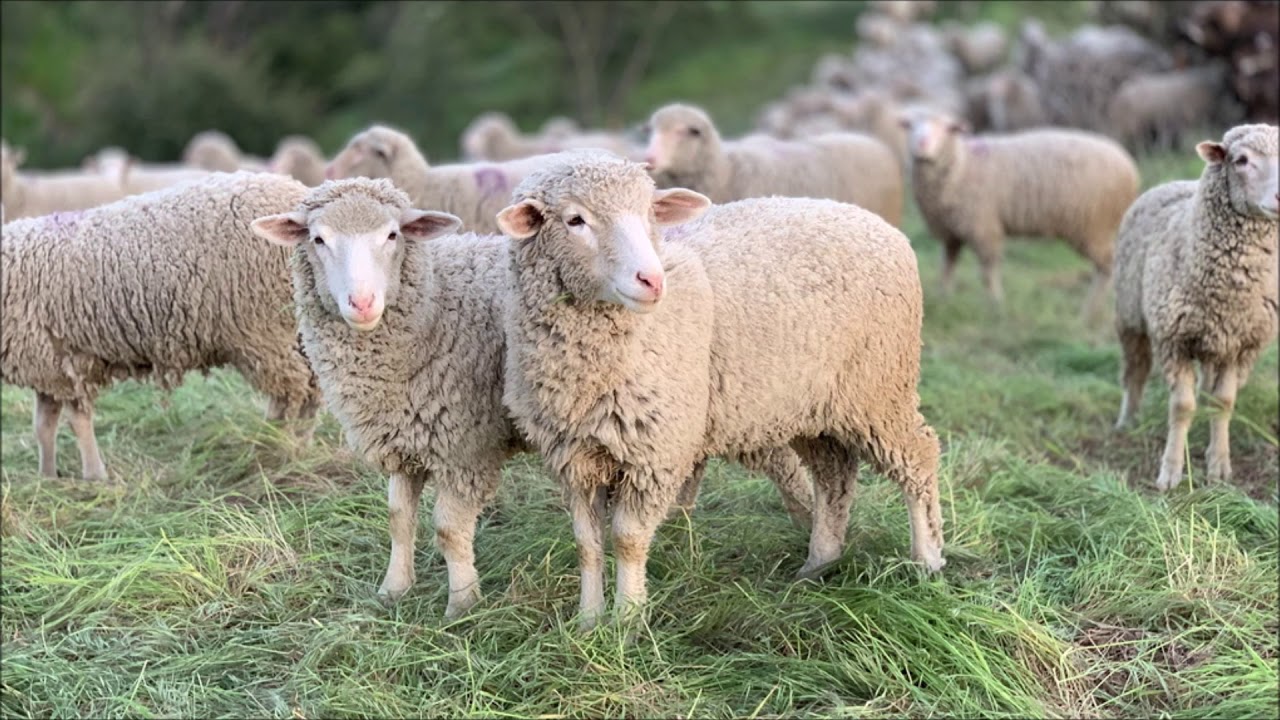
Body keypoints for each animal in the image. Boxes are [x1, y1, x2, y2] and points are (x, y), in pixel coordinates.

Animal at [1, 171, 321, 481]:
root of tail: (298, 192)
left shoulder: (67, 363)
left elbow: (77, 422)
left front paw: (94, 476)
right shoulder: (46, 364)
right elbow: (44, 426)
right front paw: (47, 478)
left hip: (265, 331)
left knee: (291, 392)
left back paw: (274, 446)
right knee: (311, 387)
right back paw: (296, 445)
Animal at [247, 178, 813, 620]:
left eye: (391, 235)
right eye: (318, 239)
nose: (361, 303)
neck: (433, 306)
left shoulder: (465, 446)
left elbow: (448, 530)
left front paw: (462, 604)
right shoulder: (403, 438)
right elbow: (397, 519)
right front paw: (393, 591)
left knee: (787, 467)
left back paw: (809, 535)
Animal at [499, 150, 944, 627]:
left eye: (650, 213)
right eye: (575, 220)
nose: (652, 280)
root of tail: (881, 225)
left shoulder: (656, 451)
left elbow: (627, 540)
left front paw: (628, 621)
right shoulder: (573, 456)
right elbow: (587, 544)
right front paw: (587, 621)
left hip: (879, 388)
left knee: (918, 457)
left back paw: (927, 560)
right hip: (814, 404)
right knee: (834, 476)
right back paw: (819, 562)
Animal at [900, 110, 1140, 321]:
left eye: (947, 128)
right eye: (911, 126)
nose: (921, 144)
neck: (961, 165)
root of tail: (1129, 167)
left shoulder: (984, 227)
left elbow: (988, 272)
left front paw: (995, 305)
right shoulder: (951, 232)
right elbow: (947, 267)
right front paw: (944, 299)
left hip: (1092, 226)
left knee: (1107, 267)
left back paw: (1088, 313)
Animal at [1113, 123, 1278, 491]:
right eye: (1241, 160)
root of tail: (1173, 182)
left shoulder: (1240, 343)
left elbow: (1223, 402)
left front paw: (1219, 465)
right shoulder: (1173, 339)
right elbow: (1181, 406)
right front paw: (1171, 472)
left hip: (1214, 341)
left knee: (1206, 385)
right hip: (1130, 317)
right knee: (1135, 372)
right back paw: (1127, 421)